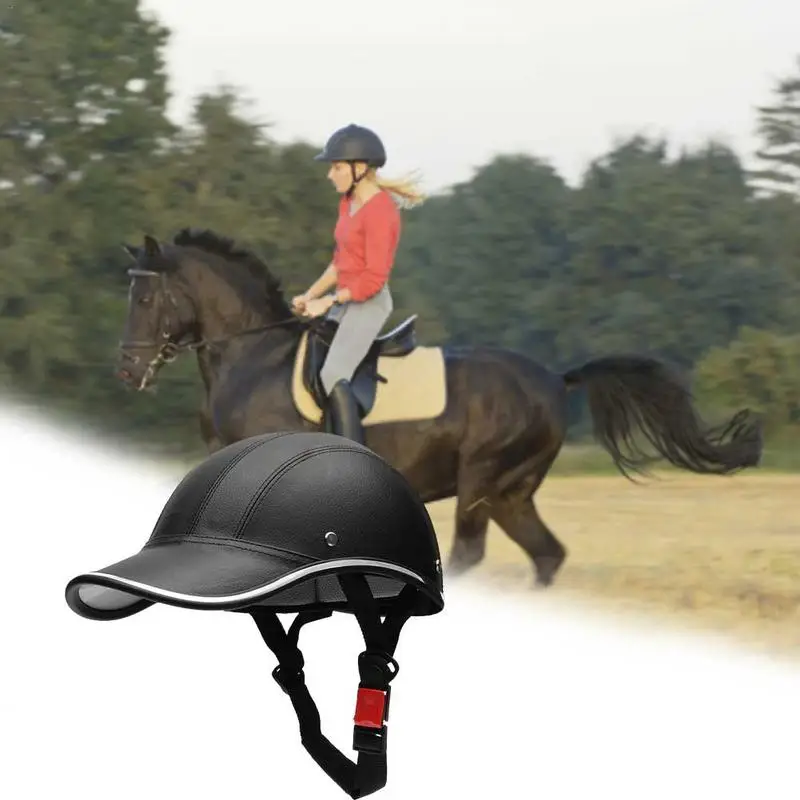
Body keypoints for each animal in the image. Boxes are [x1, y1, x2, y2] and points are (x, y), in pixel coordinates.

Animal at [115, 228, 763, 588]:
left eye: (145, 297)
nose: (126, 371)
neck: (255, 358)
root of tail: (555, 379)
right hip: (510, 492)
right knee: (547, 555)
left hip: (481, 479)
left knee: (470, 554)